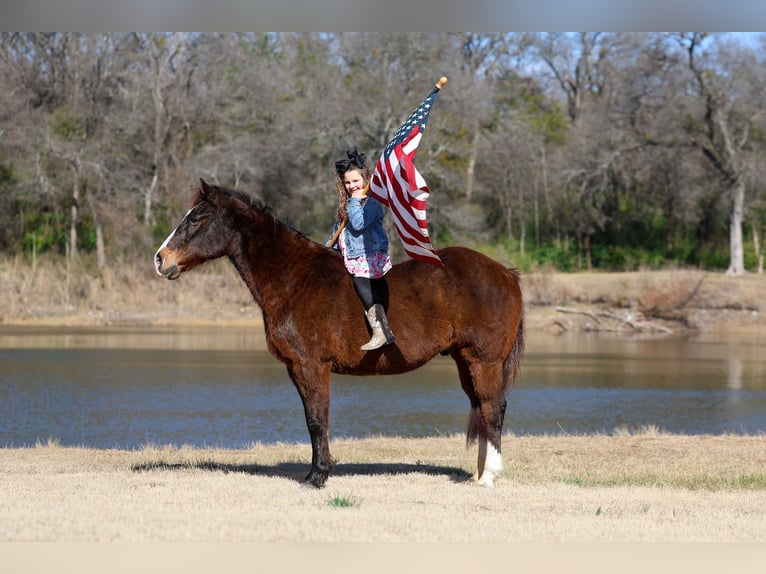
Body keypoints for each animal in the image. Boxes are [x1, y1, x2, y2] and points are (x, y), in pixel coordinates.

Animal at [154, 179, 525, 488]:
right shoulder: (297, 369)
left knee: (492, 409)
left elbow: (318, 420)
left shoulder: (312, 366)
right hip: (465, 360)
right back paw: (478, 473)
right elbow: (312, 419)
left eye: (197, 218)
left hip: (484, 361)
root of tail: (505, 272)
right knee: (481, 407)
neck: (295, 278)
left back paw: (488, 476)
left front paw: (318, 476)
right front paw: (315, 472)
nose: (160, 259)